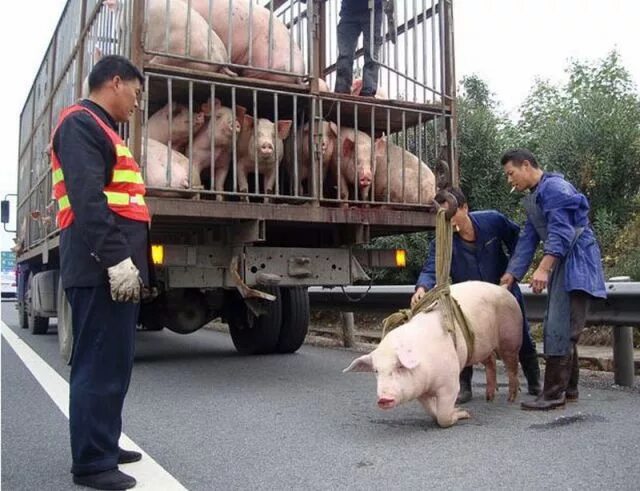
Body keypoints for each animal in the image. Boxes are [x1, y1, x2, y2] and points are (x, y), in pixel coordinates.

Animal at [342, 282, 524, 428]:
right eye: (376, 371)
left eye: (400, 366)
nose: (383, 399)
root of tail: (502, 288)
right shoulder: (421, 391)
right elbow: (432, 410)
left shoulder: (450, 383)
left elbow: (443, 415)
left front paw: (464, 413)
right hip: (482, 347)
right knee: (491, 361)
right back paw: (489, 397)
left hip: (511, 336)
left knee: (512, 364)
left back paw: (511, 398)